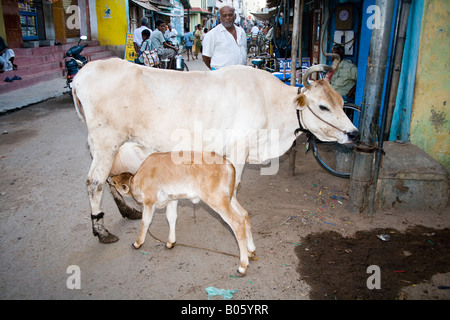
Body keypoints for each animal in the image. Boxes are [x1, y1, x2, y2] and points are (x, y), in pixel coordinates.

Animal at [72, 57, 356, 242]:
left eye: (341, 101)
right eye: (322, 106)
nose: (353, 133)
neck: (268, 101)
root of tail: (80, 76)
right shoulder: (239, 149)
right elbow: (235, 185)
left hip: (108, 146)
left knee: (108, 179)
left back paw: (127, 212)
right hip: (106, 141)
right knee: (94, 182)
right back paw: (101, 230)